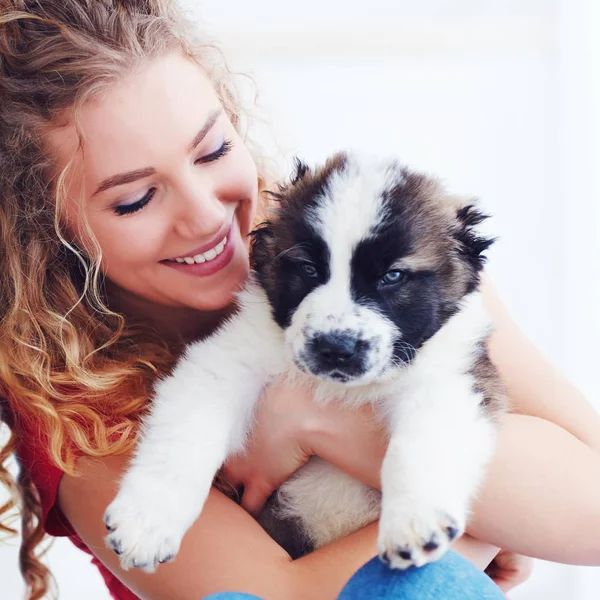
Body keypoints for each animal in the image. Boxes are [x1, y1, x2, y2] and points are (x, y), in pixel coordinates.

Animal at [104, 151, 506, 572]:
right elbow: (185, 436)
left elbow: (420, 446)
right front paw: (146, 520)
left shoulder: (448, 379)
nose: (335, 347)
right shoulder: (228, 360)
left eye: (392, 276)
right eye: (309, 269)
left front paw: (413, 523)